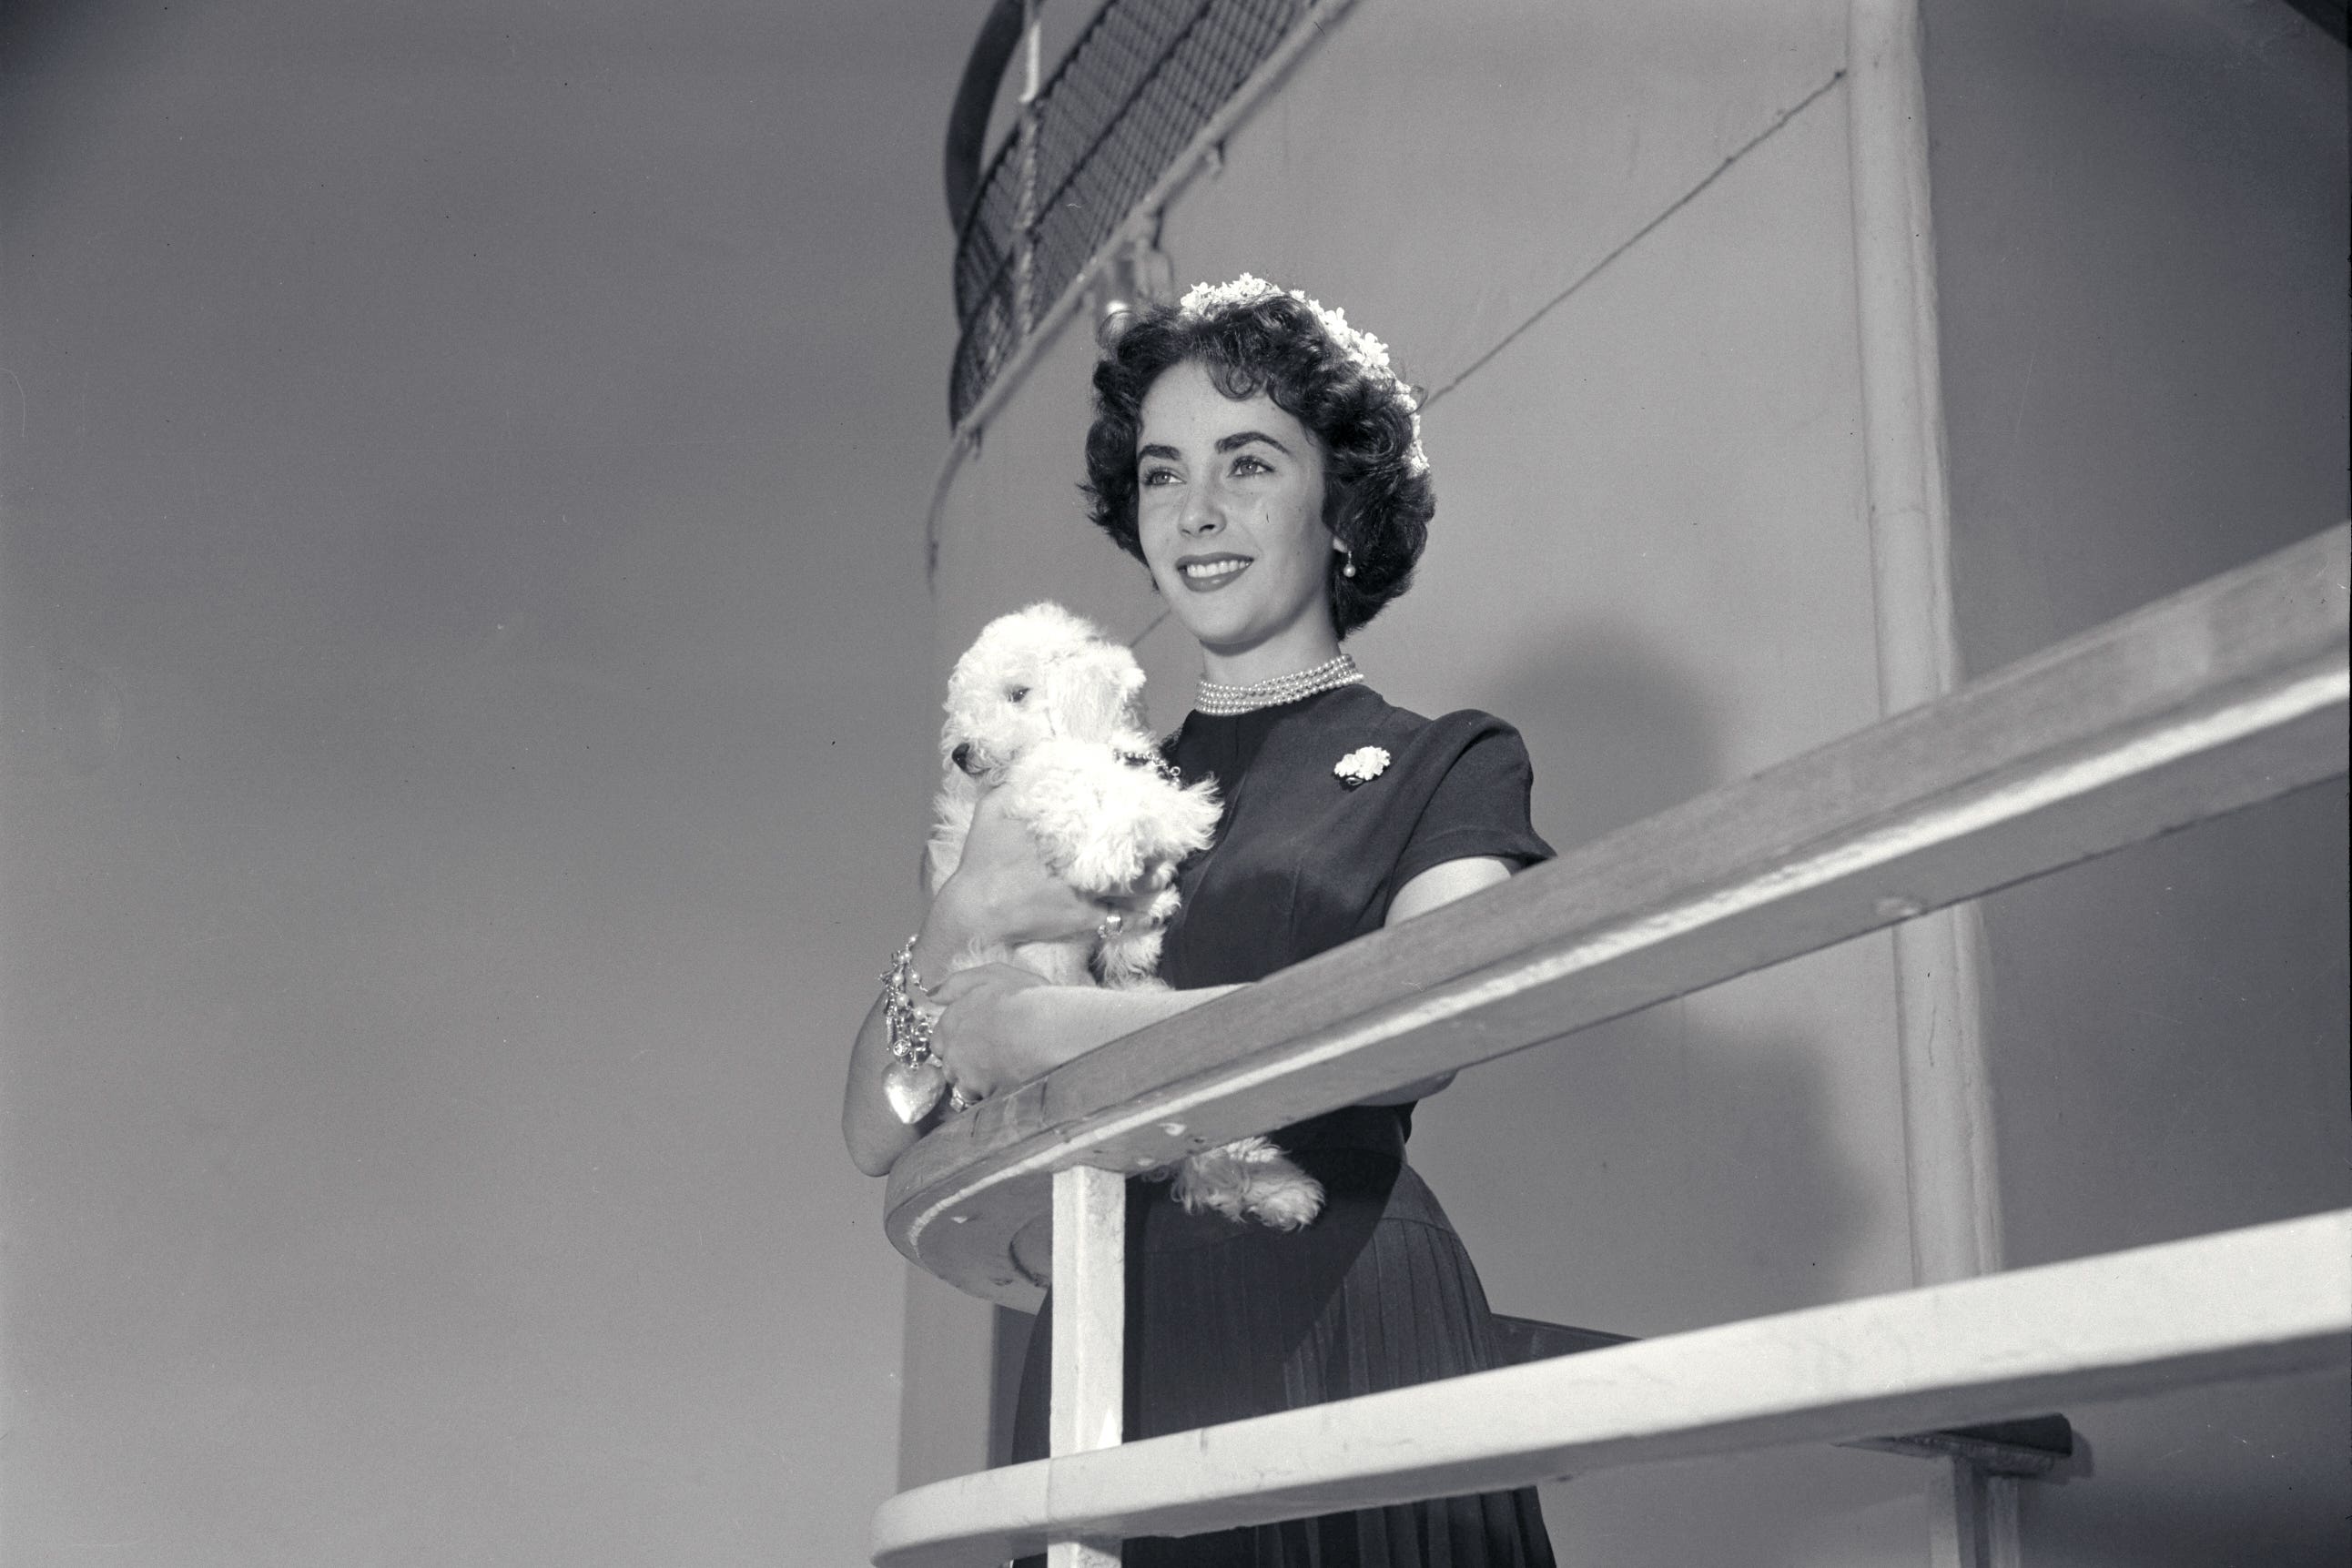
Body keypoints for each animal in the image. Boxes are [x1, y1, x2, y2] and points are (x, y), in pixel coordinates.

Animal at [921, 602, 1326, 1222]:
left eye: (1018, 693)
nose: (962, 752)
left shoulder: (1150, 787)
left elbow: (1139, 807)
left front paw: (1140, 901)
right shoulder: (1032, 789)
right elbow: (1070, 786)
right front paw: (1107, 861)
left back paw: (1274, 1186)